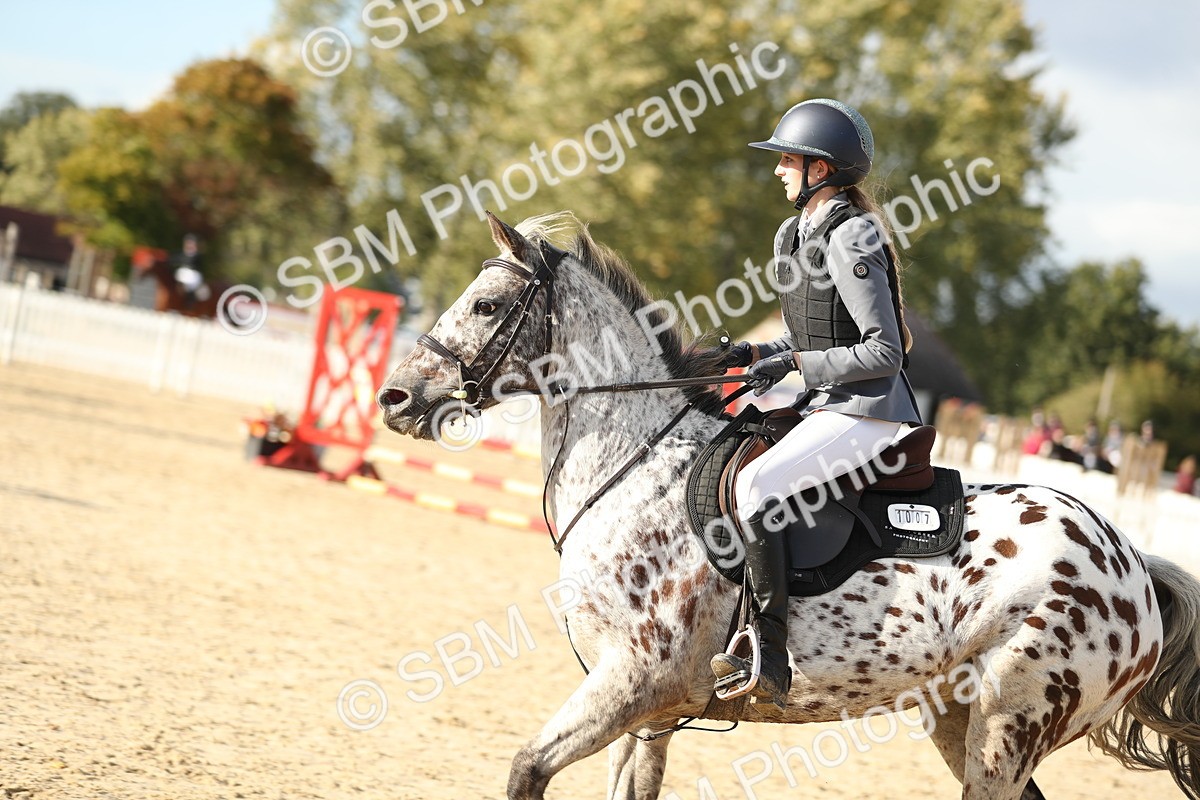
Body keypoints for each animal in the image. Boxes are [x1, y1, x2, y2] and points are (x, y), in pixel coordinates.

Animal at [376, 211, 1200, 800]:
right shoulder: (651, 714)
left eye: (486, 304)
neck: (634, 465)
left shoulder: (635, 682)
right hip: (958, 713)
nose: (395, 398)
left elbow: (526, 769)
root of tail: (1132, 564)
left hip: (1008, 720)